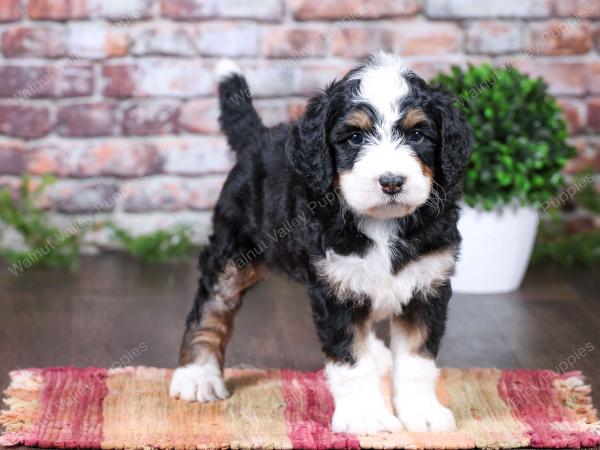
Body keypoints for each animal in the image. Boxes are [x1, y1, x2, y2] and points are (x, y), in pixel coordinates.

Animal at [169, 52, 474, 436]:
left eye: (418, 134)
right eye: (355, 138)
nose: (391, 182)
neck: (382, 223)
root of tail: (258, 137)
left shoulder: (427, 284)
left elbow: (418, 359)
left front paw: (422, 412)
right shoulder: (335, 289)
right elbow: (351, 361)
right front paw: (365, 416)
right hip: (235, 249)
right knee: (211, 305)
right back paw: (198, 375)